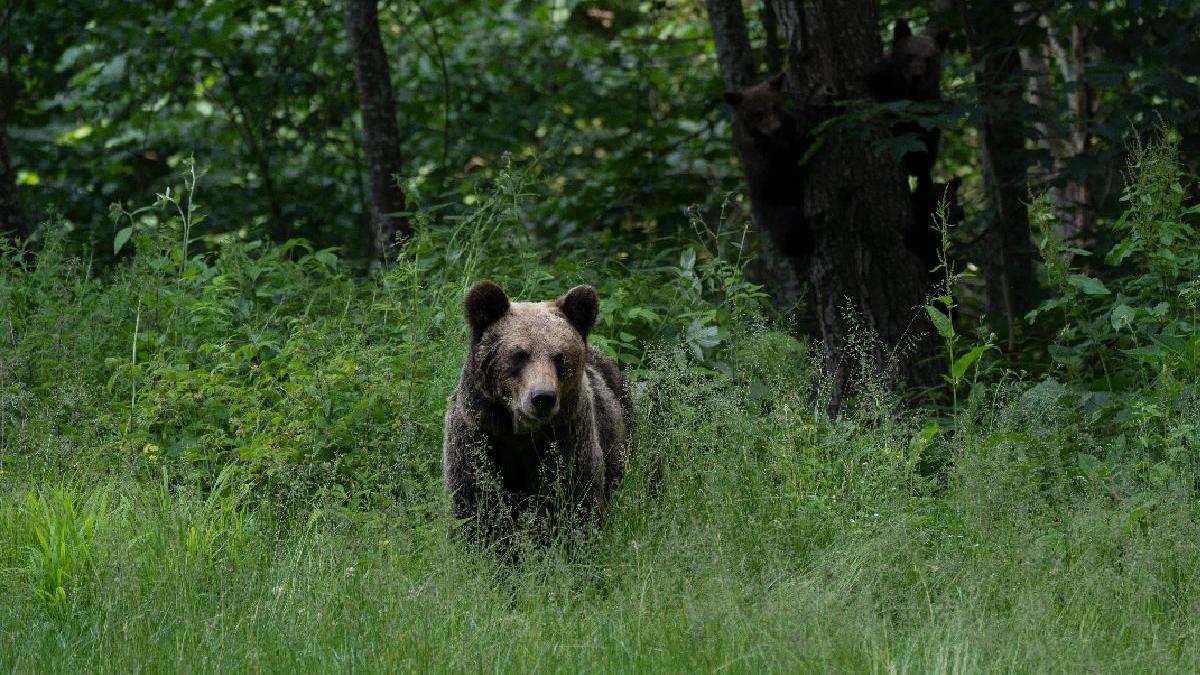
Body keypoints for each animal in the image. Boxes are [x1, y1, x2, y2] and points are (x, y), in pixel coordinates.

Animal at [720, 73, 816, 261]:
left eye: (775, 107)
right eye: (758, 114)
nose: (776, 129)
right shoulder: (765, 158)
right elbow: (791, 157)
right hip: (775, 209)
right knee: (789, 224)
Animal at [868, 19, 950, 184]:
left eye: (928, 58)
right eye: (909, 55)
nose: (916, 76)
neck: (910, 93)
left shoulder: (929, 105)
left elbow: (926, 137)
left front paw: (918, 164)